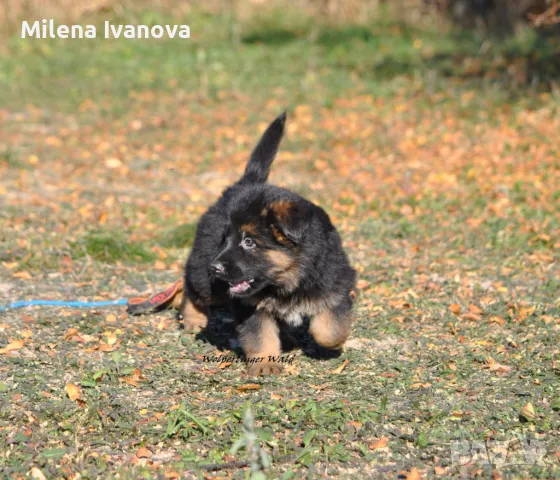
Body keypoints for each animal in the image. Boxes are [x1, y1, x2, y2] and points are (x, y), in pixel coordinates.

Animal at [177, 112, 356, 376]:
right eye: (226, 239)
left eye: (249, 242)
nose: (215, 267)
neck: (288, 279)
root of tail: (244, 183)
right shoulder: (249, 305)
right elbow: (260, 335)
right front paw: (264, 363)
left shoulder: (336, 283)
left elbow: (329, 328)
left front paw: (331, 343)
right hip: (205, 275)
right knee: (193, 287)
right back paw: (193, 319)